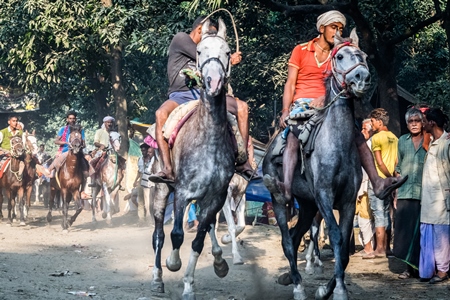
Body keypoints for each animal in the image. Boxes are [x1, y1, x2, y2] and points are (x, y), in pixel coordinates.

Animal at [151, 18, 236, 300]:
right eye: (199, 51)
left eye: (228, 52)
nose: (214, 81)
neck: (208, 140)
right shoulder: (182, 192)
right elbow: (176, 234)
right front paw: (173, 264)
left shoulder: (215, 197)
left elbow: (198, 240)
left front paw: (189, 284)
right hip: (160, 191)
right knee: (158, 234)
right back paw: (157, 278)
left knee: (203, 229)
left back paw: (219, 261)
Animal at [264, 29, 372, 300]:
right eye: (341, 56)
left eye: (364, 56)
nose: (362, 78)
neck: (337, 143)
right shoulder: (324, 195)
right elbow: (335, 237)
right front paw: (339, 291)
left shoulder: (347, 200)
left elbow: (343, 247)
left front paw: (326, 289)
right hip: (280, 201)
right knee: (287, 240)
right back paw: (298, 287)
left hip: (307, 204)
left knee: (294, 236)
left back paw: (290, 277)